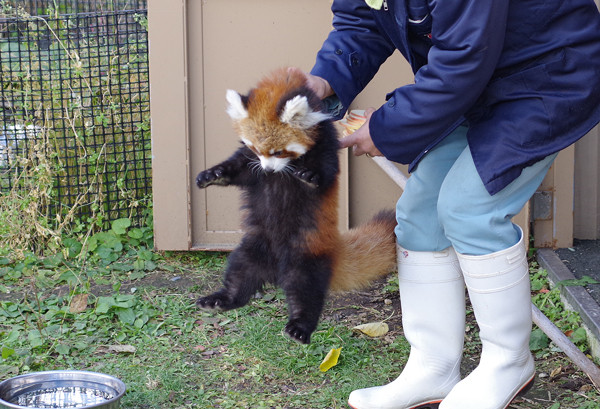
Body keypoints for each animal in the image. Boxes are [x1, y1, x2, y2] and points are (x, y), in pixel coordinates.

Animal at [195, 68, 396, 342]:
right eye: (256, 148)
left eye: (279, 152)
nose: (269, 170)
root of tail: (276, 270)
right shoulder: (249, 163)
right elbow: (238, 169)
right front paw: (212, 175)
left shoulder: (326, 146)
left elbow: (323, 173)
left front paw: (309, 177)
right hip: (253, 246)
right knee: (239, 272)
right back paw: (220, 300)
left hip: (305, 254)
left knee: (305, 291)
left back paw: (300, 327)